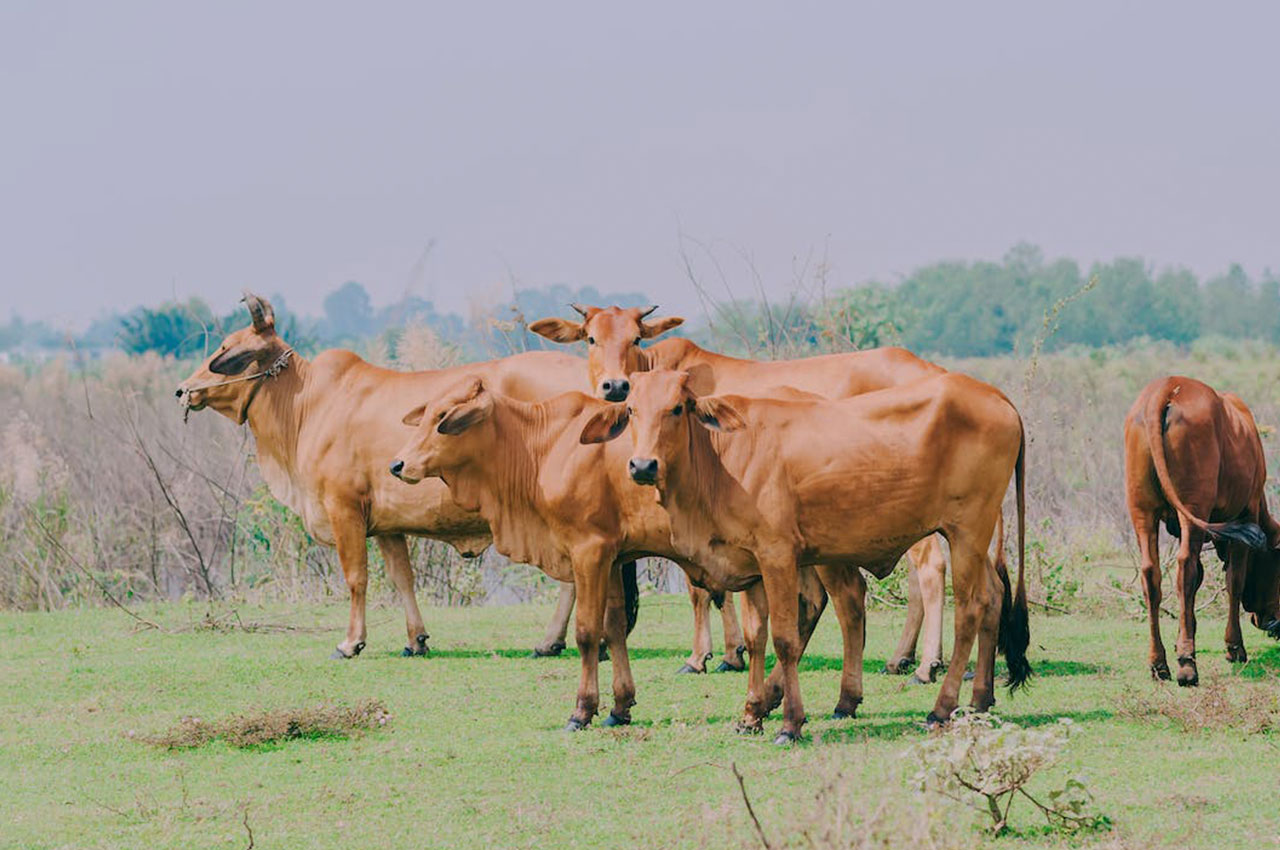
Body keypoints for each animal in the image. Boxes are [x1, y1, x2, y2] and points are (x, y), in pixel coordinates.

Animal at [175, 291, 619, 655]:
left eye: (226, 350)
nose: (182, 390)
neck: (308, 403)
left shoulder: (343, 508)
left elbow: (356, 577)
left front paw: (351, 642)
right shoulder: (386, 523)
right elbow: (401, 578)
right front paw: (415, 639)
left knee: (573, 578)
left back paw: (560, 641)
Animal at [386, 378, 860, 732]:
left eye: (444, 419)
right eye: (426, 414)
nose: (397, 465)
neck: (542, 446)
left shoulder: (588, 551)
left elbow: (586, 632)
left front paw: (582, 710)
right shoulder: (615, 557)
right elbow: (614, 629)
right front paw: (619, 706)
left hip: (825, 551)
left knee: (842, 605)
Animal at [529, 302, 962, 681]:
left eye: (635, 338)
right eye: (590, 338)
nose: (615, 386)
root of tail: (932, 369)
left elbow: (702, 590)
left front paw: (701, 657)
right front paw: (731, 653)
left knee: (931, 569)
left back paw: (926, 665)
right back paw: (904, 658)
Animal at [586, 368, 1034, 742]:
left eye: (677, 408)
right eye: (632, 409)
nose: (642, 466)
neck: (722, 458)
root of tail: (995, 395)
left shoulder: (777, 557)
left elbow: (784, 639)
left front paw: (789, 723)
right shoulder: (751, 565)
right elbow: (755, 636)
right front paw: (751, 714)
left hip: (967, 532)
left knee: (970, 610)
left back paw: (941, 708)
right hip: (972, 539)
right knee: (993, 598)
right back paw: (980, 699)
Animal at [1121, 373, 1280, 686]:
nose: (1273, 624)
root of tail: (1165, 388)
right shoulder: (1246, 514)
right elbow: (1234, 581)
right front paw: (1234, 647)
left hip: (1142, 510)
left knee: (1151, 573)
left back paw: (1159, 662)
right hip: (1194, 507)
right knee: (1185, 568)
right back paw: (1187, 665)